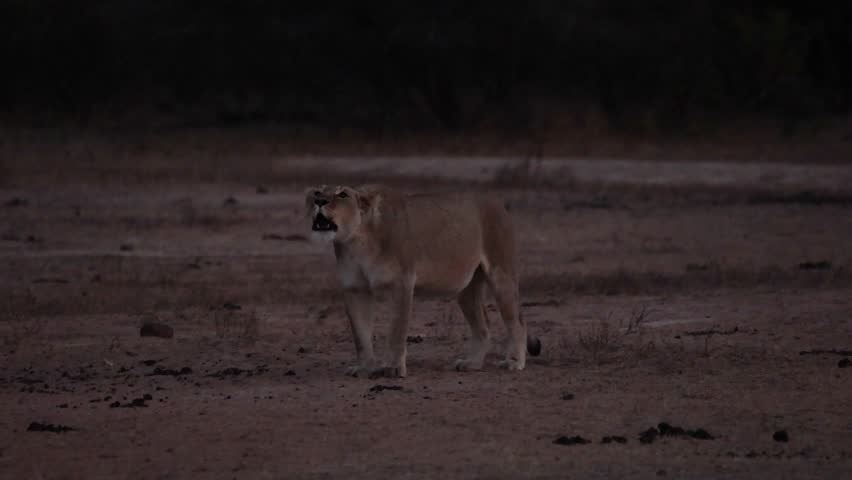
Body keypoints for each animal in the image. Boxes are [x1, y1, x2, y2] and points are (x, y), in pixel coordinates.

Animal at [304, 184, 541, 378]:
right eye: (318, 191)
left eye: (342, 194)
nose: (319, 201)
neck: (356, 241)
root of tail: (497, 202)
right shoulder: (355, 290)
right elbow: (360, 335)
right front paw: (364, 368)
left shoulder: (401, 284)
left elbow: (396, 331)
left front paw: (393, 369)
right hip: (466, 289)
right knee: (483, 325)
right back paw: (472, 363)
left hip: (501, 274)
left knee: (517, 321)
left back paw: (514, 362)